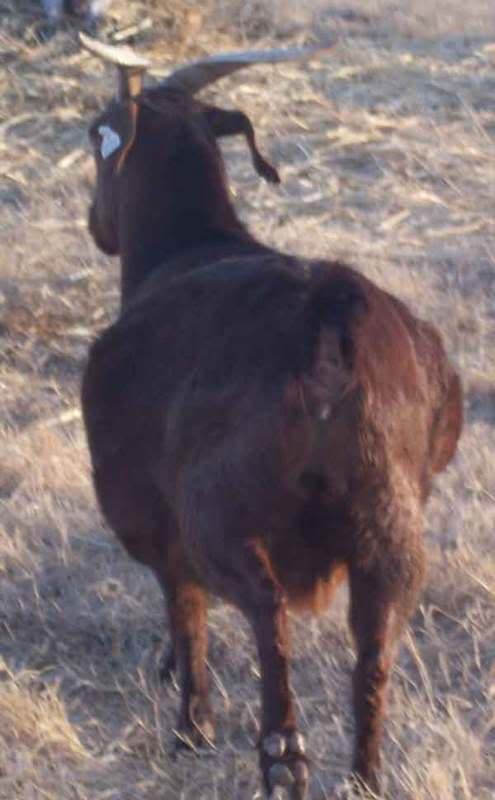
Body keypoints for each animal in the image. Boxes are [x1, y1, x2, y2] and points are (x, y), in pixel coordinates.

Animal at [79, 34, 463, 799]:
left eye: (95, 135)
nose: (96, 226)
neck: (194, 244)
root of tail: (325, 317)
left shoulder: (151, 513)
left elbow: (185, 608)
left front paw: (191, 726)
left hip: (221, 512)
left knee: (264, 606)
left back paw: (281, 755)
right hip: (390, 520)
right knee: (372, 645)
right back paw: (363, 774)